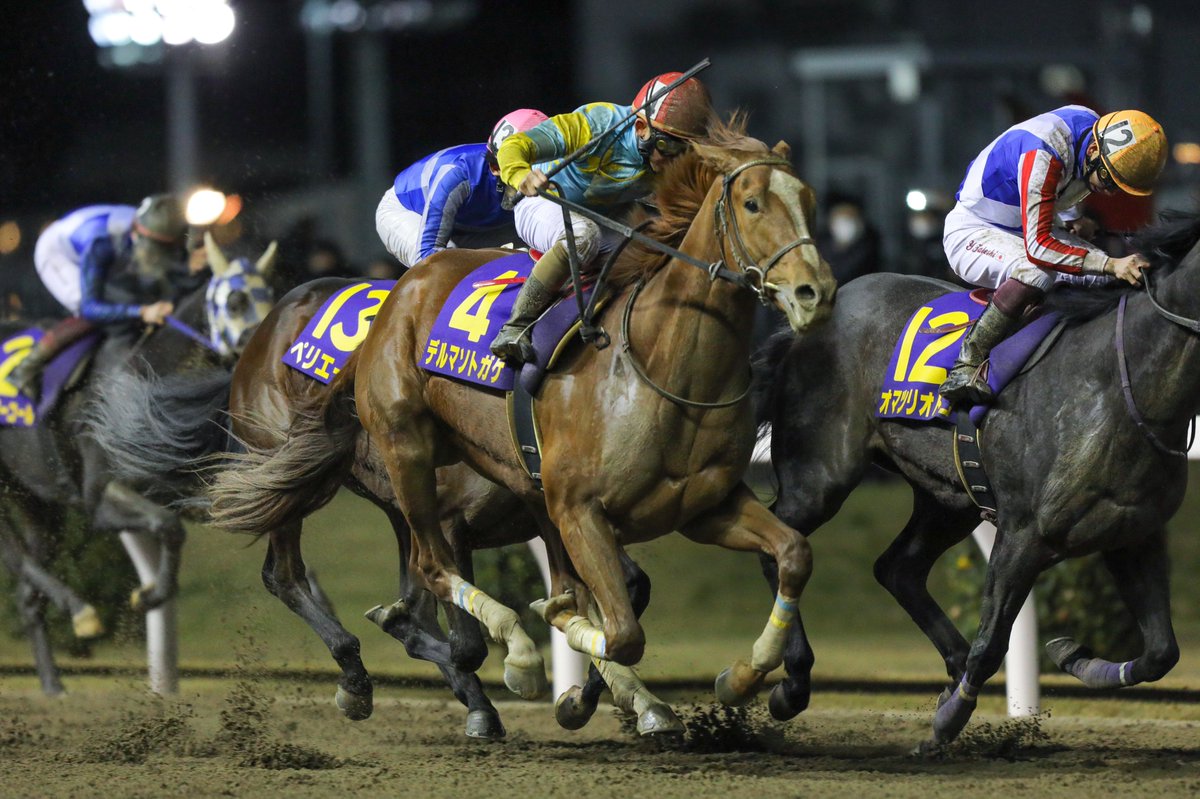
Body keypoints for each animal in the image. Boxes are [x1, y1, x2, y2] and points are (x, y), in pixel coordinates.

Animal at [204, 118, 835, 705]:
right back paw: (477, 663)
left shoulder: (703, 505)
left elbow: (793, 554)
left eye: (808, 200)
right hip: (395, 452)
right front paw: (569, 669)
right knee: (349, 572)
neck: (656, 364)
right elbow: (618, 631)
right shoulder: (572, 509)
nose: (816, 292)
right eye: (752, 203)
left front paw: (739, 678)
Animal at [748, 208, 1200, 743]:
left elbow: (1161, 653)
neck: (1122, 384)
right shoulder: (1024, 534)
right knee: (782, 543)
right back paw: (792, 683)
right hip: (821, 474)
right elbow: (992, 644)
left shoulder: (1133, 533)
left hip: (949, 497)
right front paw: (948, 721)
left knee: (898, 567)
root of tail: (810, 319)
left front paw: (1074, 656)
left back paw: (946, 665)